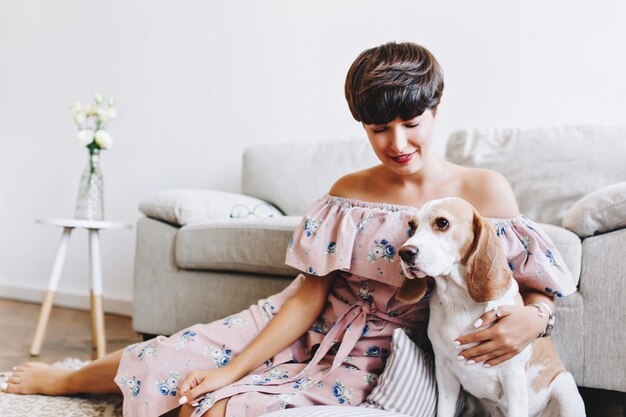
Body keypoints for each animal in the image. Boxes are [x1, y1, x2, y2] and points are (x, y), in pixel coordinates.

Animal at [398, 197, 584, 416]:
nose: (404, 253)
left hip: (565, 389)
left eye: (442, 222)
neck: (459, 300)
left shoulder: (512, 379)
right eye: (412, 226)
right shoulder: (444, 374)